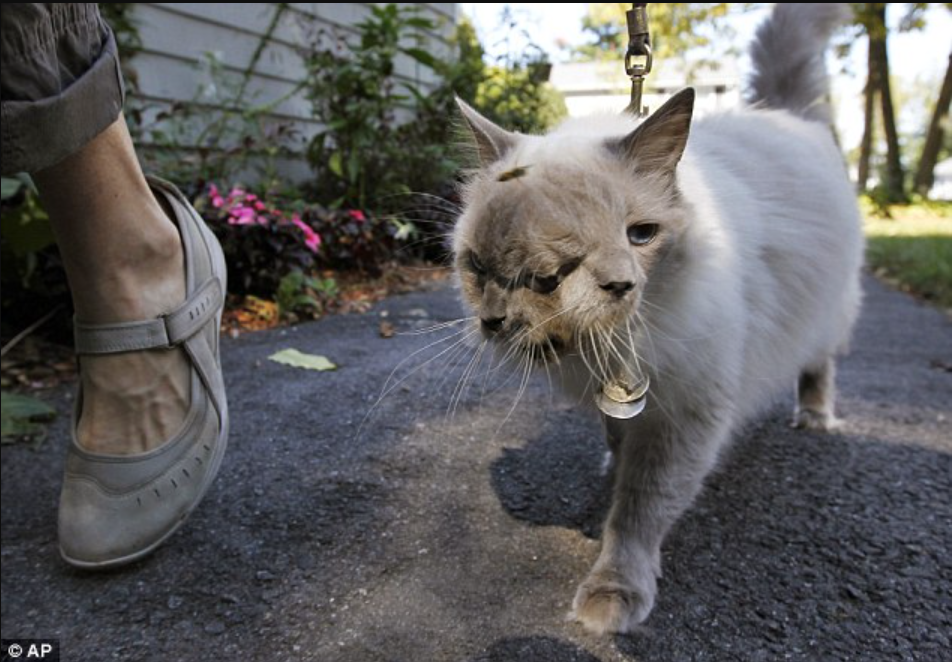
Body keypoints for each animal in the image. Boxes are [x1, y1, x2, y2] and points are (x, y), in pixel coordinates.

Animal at [452, 3, 864, 640]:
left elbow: (638, 511)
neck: (609, 346)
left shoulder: (687, 412)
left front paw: (612, 595)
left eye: (640, 235)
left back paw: (816, 417)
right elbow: (616, 438)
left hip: (828, 310)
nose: (619, 284)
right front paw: (610, 461)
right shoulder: (627, 394)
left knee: (819, 362)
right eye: (488, 265)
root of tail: (785, 114)